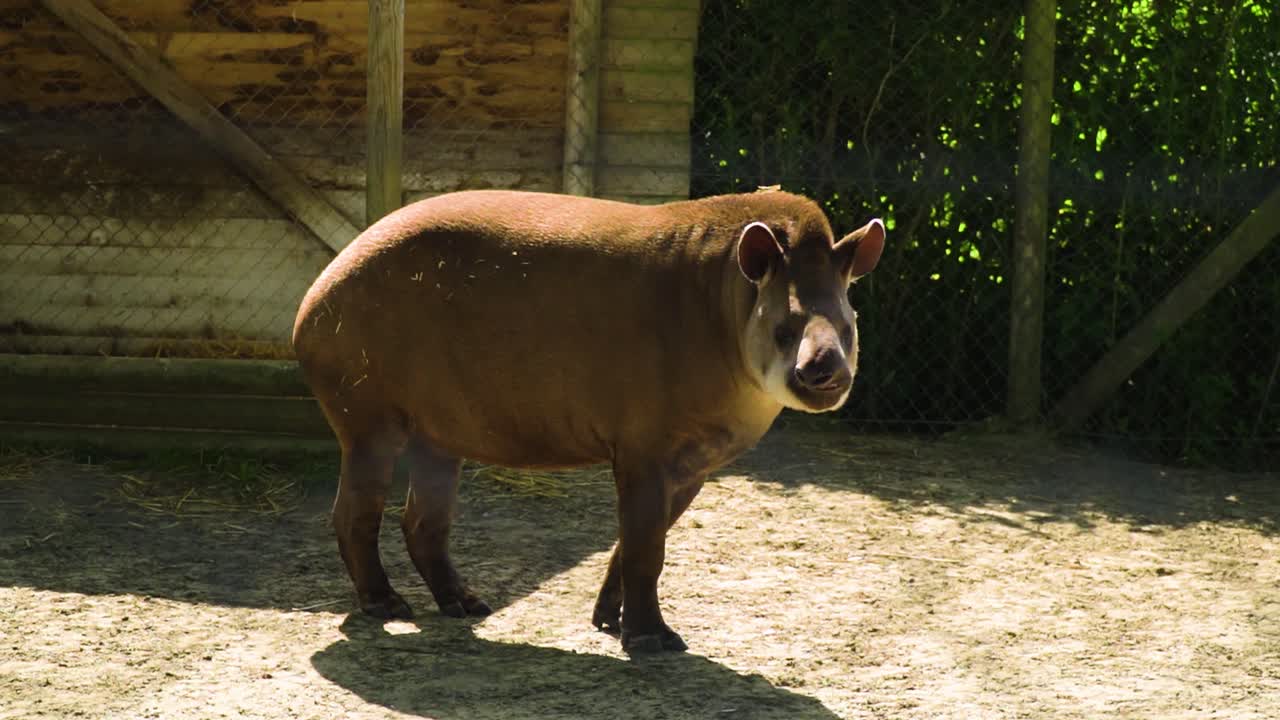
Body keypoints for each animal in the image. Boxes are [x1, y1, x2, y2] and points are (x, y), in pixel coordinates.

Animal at [292, 188, 885, 653]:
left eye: (849, 323)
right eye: (785, 327)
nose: (826, 372)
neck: (729, 300)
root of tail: (312, 298)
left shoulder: (694, 463)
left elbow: (636, 542)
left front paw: (607, 620)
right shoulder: (645, 445)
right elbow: (646, 547)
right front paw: (652, 641)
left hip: (438, 429)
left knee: (423, 521)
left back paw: (466, 603)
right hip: (369, 414)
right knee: (356, 512)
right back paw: (387, 606)